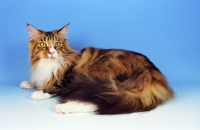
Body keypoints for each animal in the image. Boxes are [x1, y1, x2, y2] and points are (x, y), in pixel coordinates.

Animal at [20, 23, 173, 114]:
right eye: (43, 45)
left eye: (57, 44)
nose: (52, 52)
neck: (48, 64)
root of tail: (156, 76)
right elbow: (38, 81)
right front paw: (27, 83)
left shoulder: (67, 80)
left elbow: (52, 87)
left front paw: (39, 93)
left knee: (99, 101)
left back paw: (64, 107)